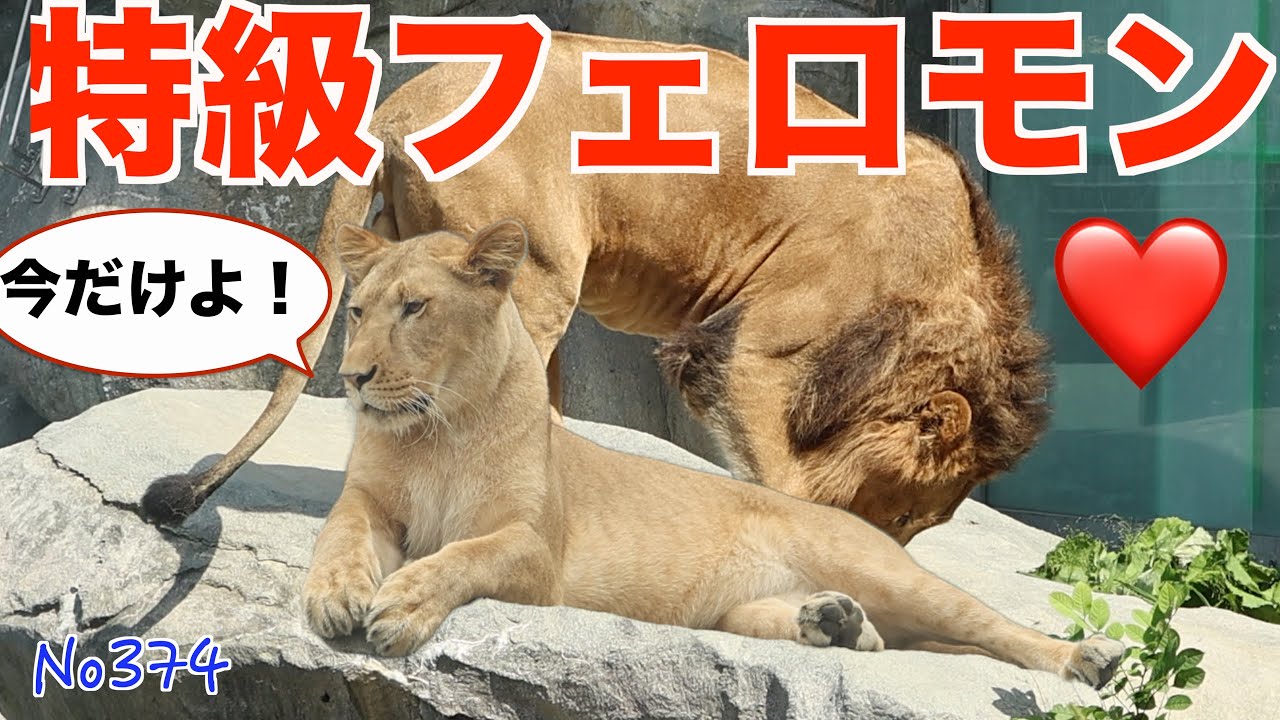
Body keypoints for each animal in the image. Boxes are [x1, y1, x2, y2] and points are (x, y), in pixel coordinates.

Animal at [143, 31, 1050, 544]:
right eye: (900, 517)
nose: (897, 551)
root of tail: (402, 100)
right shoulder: (752, 349)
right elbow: (779, 470)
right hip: (536, 265)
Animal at [297, 217, 1119, 690]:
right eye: (358, 310)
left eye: (415, 308)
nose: (353, 377)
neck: (437, 429)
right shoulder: (367, 500)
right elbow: (338, 532)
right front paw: (333, 596)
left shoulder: (536, 550)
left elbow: (466, 555)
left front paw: (401, 603)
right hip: (744, 612)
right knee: (883, 639)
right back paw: (835, 623)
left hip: (889, 571)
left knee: (987, 628)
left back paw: (1085, 659)